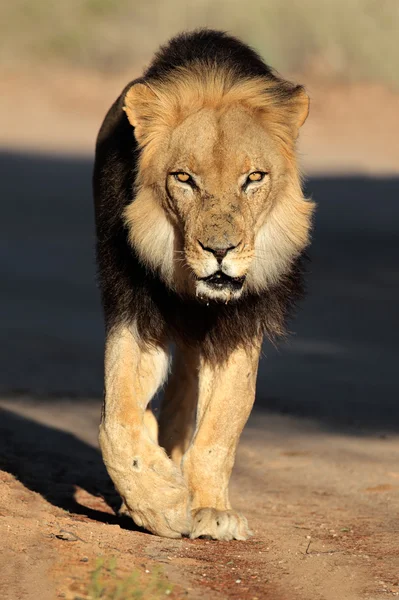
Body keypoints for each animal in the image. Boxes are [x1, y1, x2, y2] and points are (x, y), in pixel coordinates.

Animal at [94, 30, 316, 540]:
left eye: (253, 178)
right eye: (184, 178)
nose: (220, 250)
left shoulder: (241, 324)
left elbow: (221, 427)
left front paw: (212, 510)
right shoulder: (135, 311)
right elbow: (117, 421)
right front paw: (159, 503)